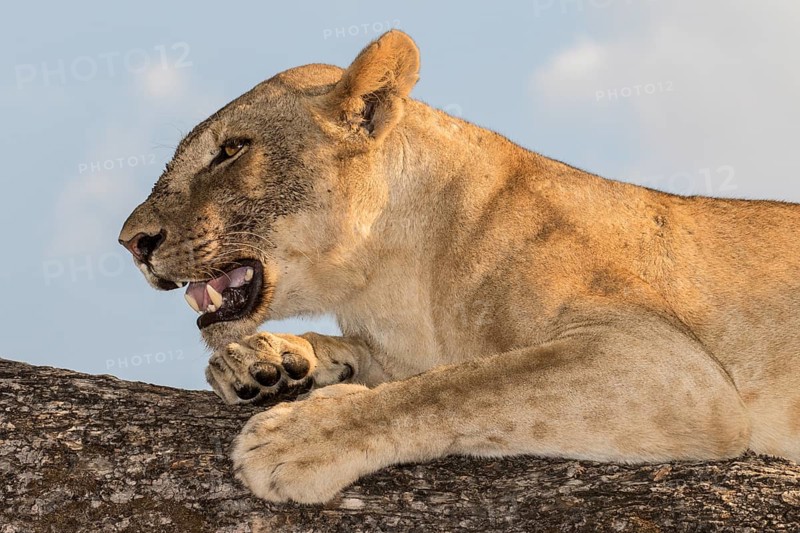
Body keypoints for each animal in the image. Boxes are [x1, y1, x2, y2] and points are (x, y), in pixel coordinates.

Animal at [119, 30, 800, 503]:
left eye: (231, 150)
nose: (132, 242)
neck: (388, 281)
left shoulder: (665, 366)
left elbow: (463, 384)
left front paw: (302, 436)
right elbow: (397, 367)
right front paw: (266, 360)